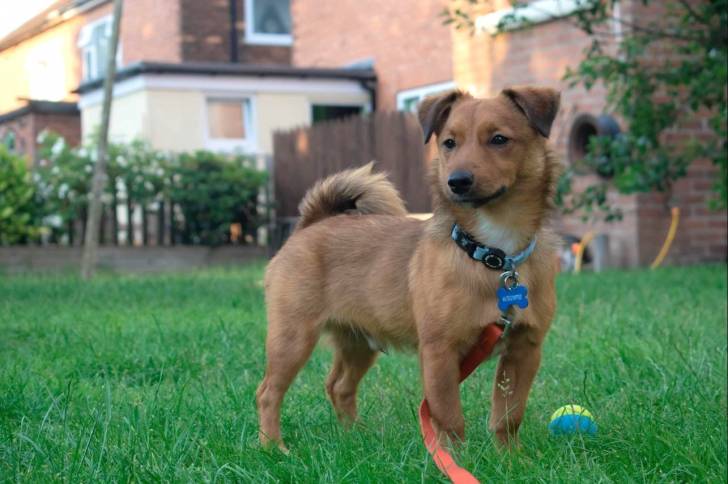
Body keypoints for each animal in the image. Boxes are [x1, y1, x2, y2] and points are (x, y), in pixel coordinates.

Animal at [258, 86, 564, 450]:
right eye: (449, 143)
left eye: (499, 139)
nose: (457, 181)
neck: (493, 255)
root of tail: (311, 224)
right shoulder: (439, 353)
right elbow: (448, 416)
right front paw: (455, 456)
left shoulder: (524, 350)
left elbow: (508, 415)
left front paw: (509, 457)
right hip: (292, 338)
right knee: (268, 393)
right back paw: (273, 447)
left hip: (358, 341)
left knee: (339, 386)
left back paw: (356, 437)